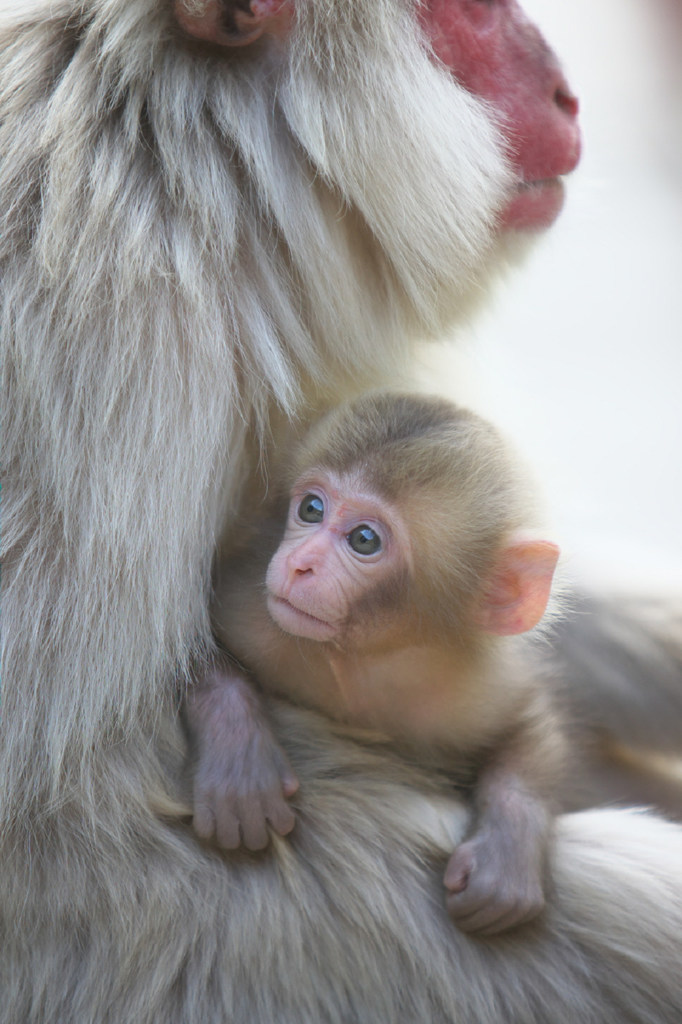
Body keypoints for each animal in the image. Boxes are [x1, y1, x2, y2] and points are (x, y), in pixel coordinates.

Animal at [183, 393, 561, 937]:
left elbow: (526, 721)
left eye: (364, 539)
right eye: (311, 509)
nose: (299, 563)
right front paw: (239, 751)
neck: (363, 656)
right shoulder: (255, 613)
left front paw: (507, 851)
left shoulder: (467, 688)